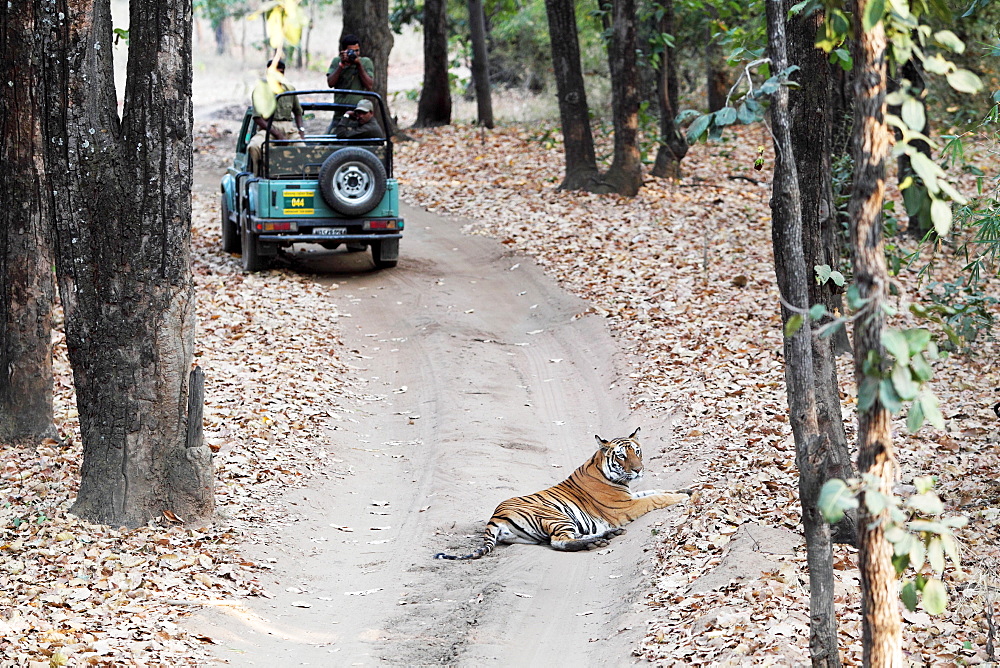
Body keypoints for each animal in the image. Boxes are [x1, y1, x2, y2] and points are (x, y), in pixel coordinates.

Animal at [434, 428, 692, 560]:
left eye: (637, 452)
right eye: (621, 456)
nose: (639, 469)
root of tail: (493, 518)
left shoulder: (629, 497)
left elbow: (655, 491)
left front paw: (686, 489)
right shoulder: (624, 506)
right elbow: (655, 498)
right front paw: (684, 497)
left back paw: (607, 535)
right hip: (556, 515)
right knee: (559, 542)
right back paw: (598, 540)